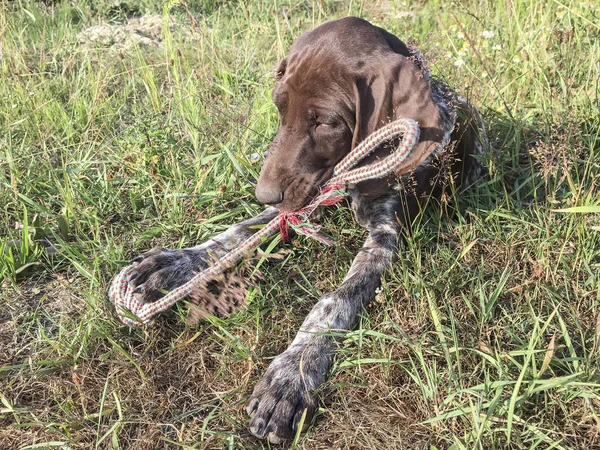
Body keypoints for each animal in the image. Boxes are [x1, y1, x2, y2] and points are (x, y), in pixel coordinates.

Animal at [127, 15, 488, 442]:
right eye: (279, 108)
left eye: (327, 122)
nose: (263, 194)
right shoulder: (302, 200)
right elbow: (237, 233)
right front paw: (176, 262)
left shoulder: (386, 236)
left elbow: (334, 301)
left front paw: (293, 373)